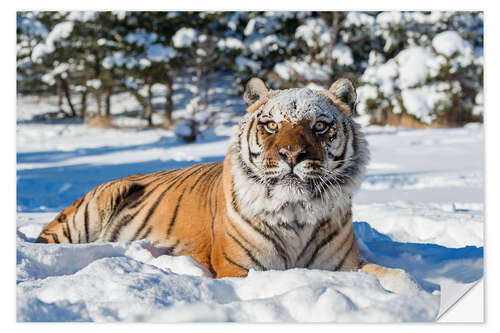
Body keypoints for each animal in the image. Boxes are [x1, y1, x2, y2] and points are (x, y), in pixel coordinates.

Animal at [36, 76, 414, 290]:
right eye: (271, 125)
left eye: (320, 126)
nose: (292, 155)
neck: (296, 214)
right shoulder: (240, 268)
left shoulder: (343, 265)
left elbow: (402, 278)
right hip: (87, 213)